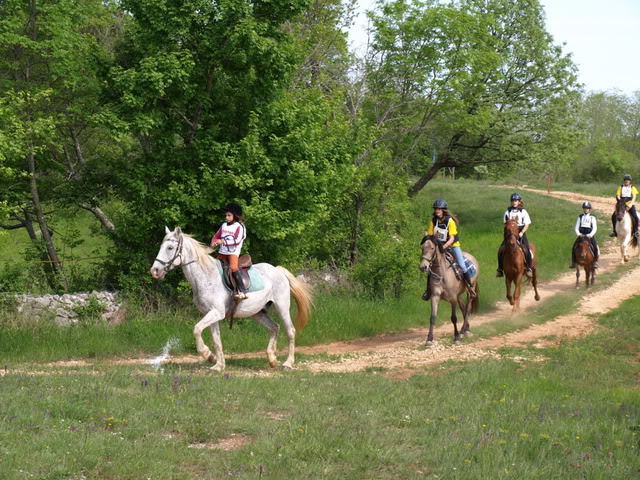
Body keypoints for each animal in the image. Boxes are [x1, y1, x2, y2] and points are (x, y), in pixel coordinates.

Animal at [148, 228, 312, 372]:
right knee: (274, 328)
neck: (206, 275)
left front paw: (208, 355)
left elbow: (196, 329)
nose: (154, 271)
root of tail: (278, 270)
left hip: (282, 307)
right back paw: (272, 359)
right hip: (258, 312)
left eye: (170, 248)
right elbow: (216, 340)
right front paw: (218, 365)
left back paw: (288, 364)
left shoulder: (216, 312)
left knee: (290, 331)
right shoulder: (211, 314)